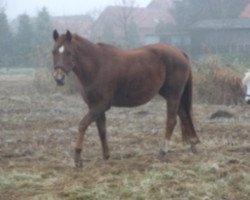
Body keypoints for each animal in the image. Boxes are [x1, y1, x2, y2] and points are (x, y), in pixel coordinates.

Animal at [51, 30, 198, 167]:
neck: (97, 66)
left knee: (171, 121)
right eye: (53, 52)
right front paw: (106, 156)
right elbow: (102, 130)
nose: (58, 78)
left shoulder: (100, 105)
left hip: (173, 95)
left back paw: (162, 152)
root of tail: (180, 52)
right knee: (184, 115)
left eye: (69, 52)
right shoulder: (95, 107)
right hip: (173, 96)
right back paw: (193, 144)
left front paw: (78, 159)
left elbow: (82, 125)